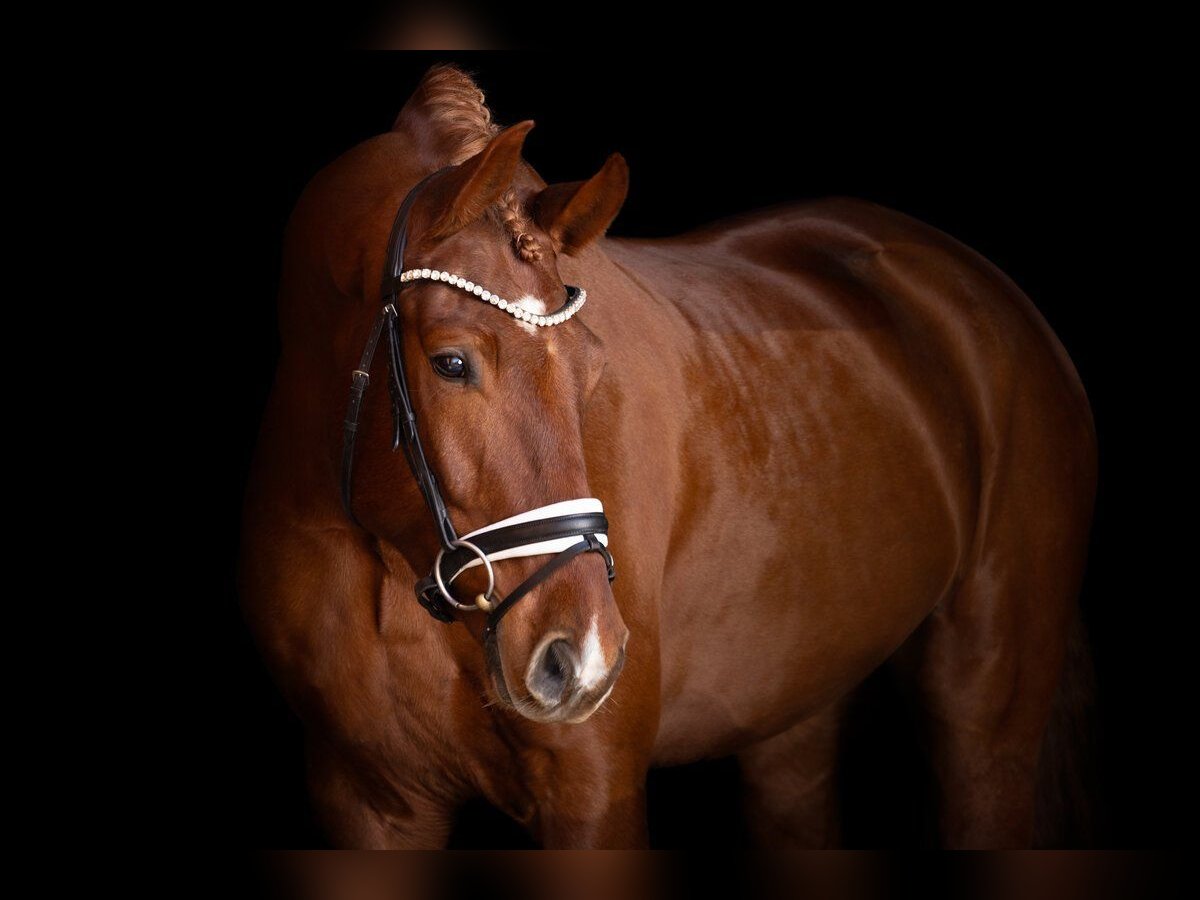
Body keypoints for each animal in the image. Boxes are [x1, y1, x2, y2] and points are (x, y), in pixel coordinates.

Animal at [241, 66, 1099, 849]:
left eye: (591, 369)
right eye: (451, 362)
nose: (582, 656)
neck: (386, 563)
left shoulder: (593, 792)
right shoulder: (367, 800)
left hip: (987, 712)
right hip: (793, 713)